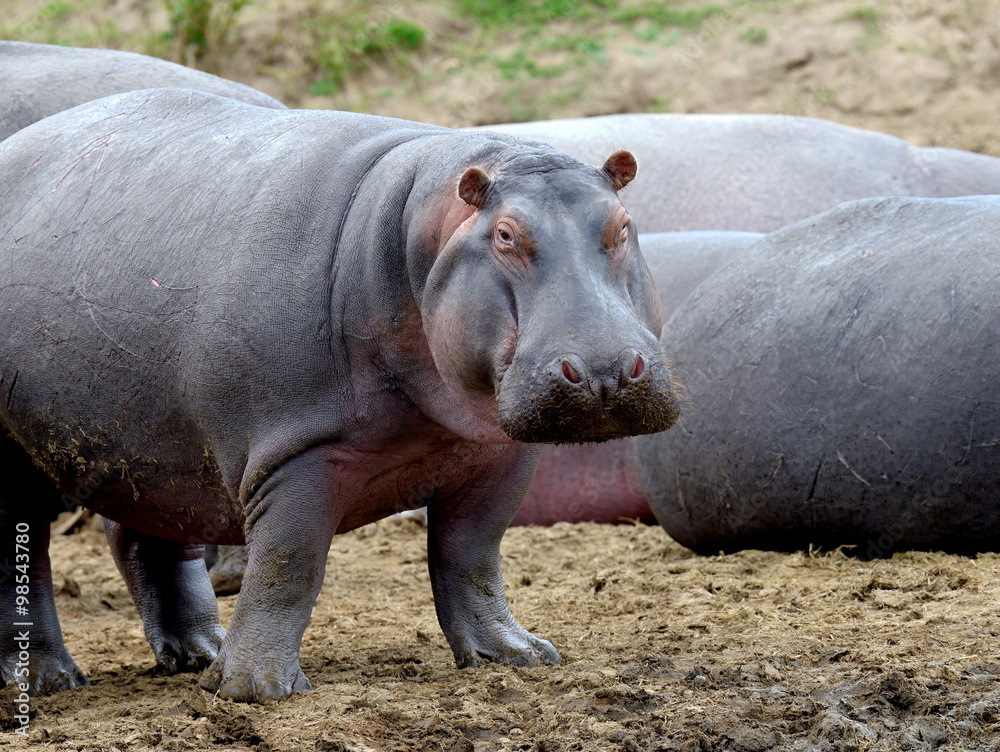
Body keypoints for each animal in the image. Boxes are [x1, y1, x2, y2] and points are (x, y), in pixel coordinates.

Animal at [0, 91, 680, 704]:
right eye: (507, 235)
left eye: (622, 226)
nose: (605, 371)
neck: (416, 235)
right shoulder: (298, 452)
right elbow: (289, 563)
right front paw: (259, 691)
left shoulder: (500, 452)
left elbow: (472, 555)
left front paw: (517, 657)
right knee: (21, 556)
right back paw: (47, 681)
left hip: (154, 448)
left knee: (147, 539)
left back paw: (199, 655)